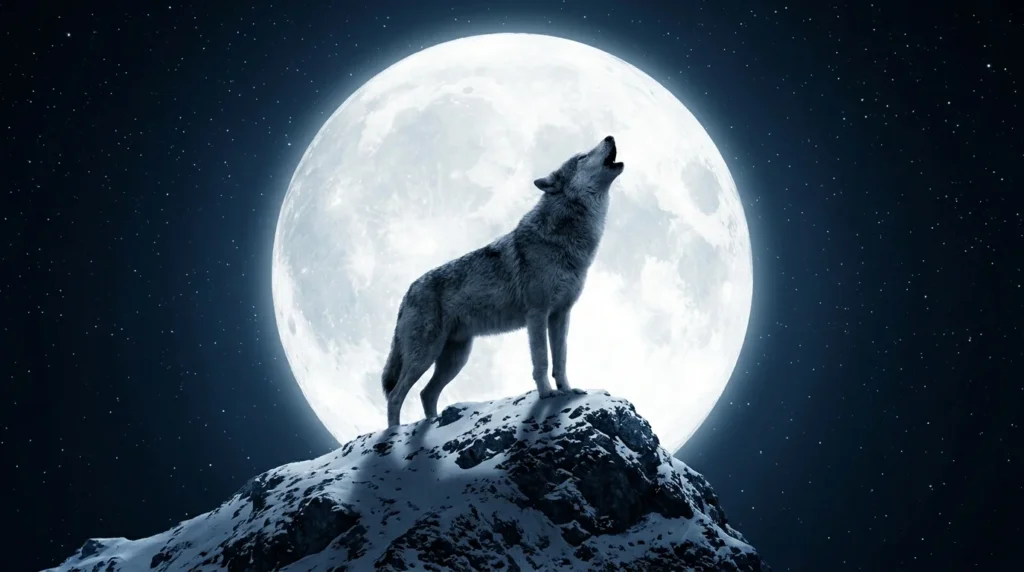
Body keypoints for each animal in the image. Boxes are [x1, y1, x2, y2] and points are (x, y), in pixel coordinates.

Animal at [380, 135, 625, 427]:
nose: (610, 137)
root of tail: (407, 293)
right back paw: (395, 433)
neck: (564, 240)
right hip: (425, 356)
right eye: (582, 157)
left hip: (455, 358)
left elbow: (561, 360)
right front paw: (547, 395)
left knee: (426, 393)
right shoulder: (537, 314)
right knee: (395, 395)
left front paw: (568, 390)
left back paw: (434, 425)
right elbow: (542, 361)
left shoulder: (561, 315)